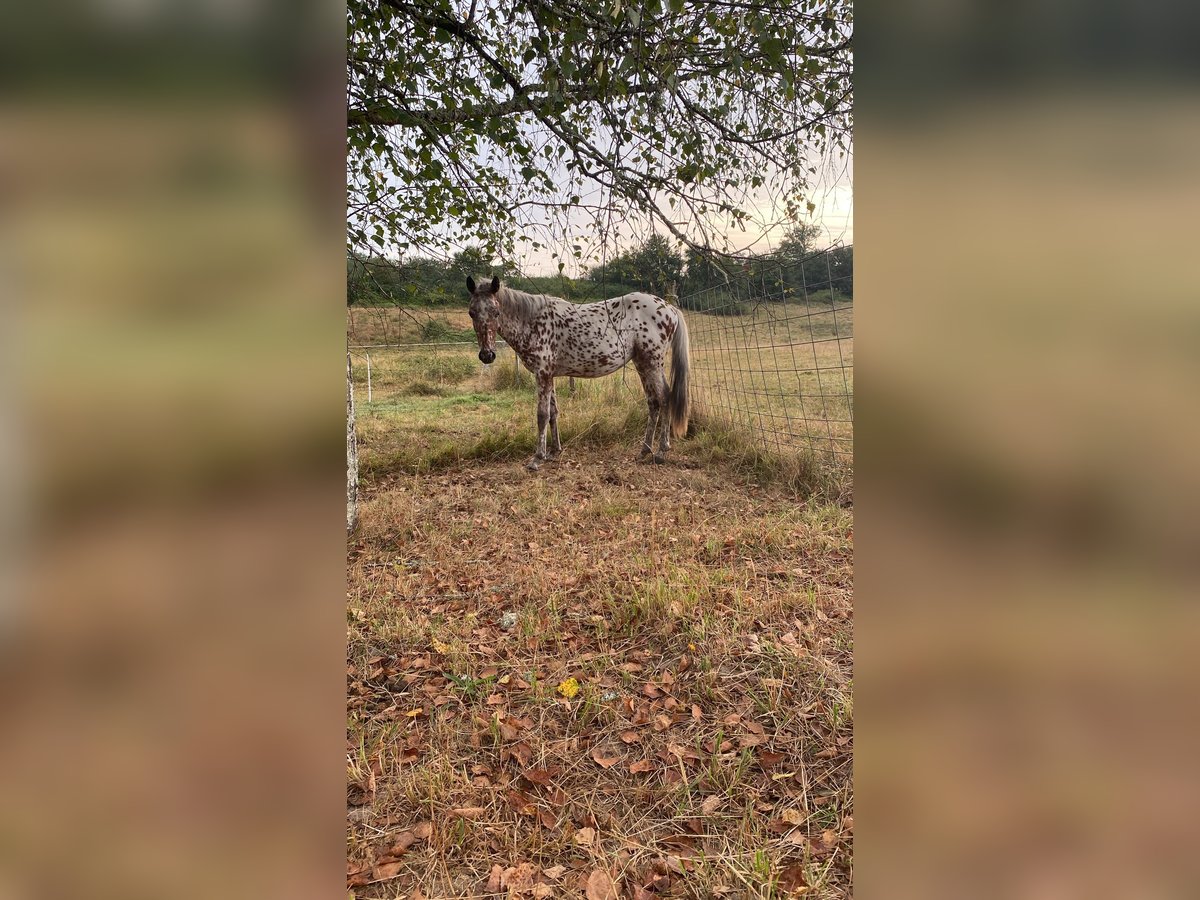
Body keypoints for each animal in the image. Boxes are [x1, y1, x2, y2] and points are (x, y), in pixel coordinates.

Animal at [468, 274, 696, 472]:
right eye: (472, 312)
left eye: (496, 312)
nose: (487, 355)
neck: (532, 322)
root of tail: (669, 308)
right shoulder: (549, 375)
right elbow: (553, 413)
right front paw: (554, 451)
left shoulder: (542, 374)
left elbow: (542, 415)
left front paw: (537, 459)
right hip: (643, 364)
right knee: (653, 402)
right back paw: (644, 451)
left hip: (652, 363)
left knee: (664, 398)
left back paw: (661, 452)